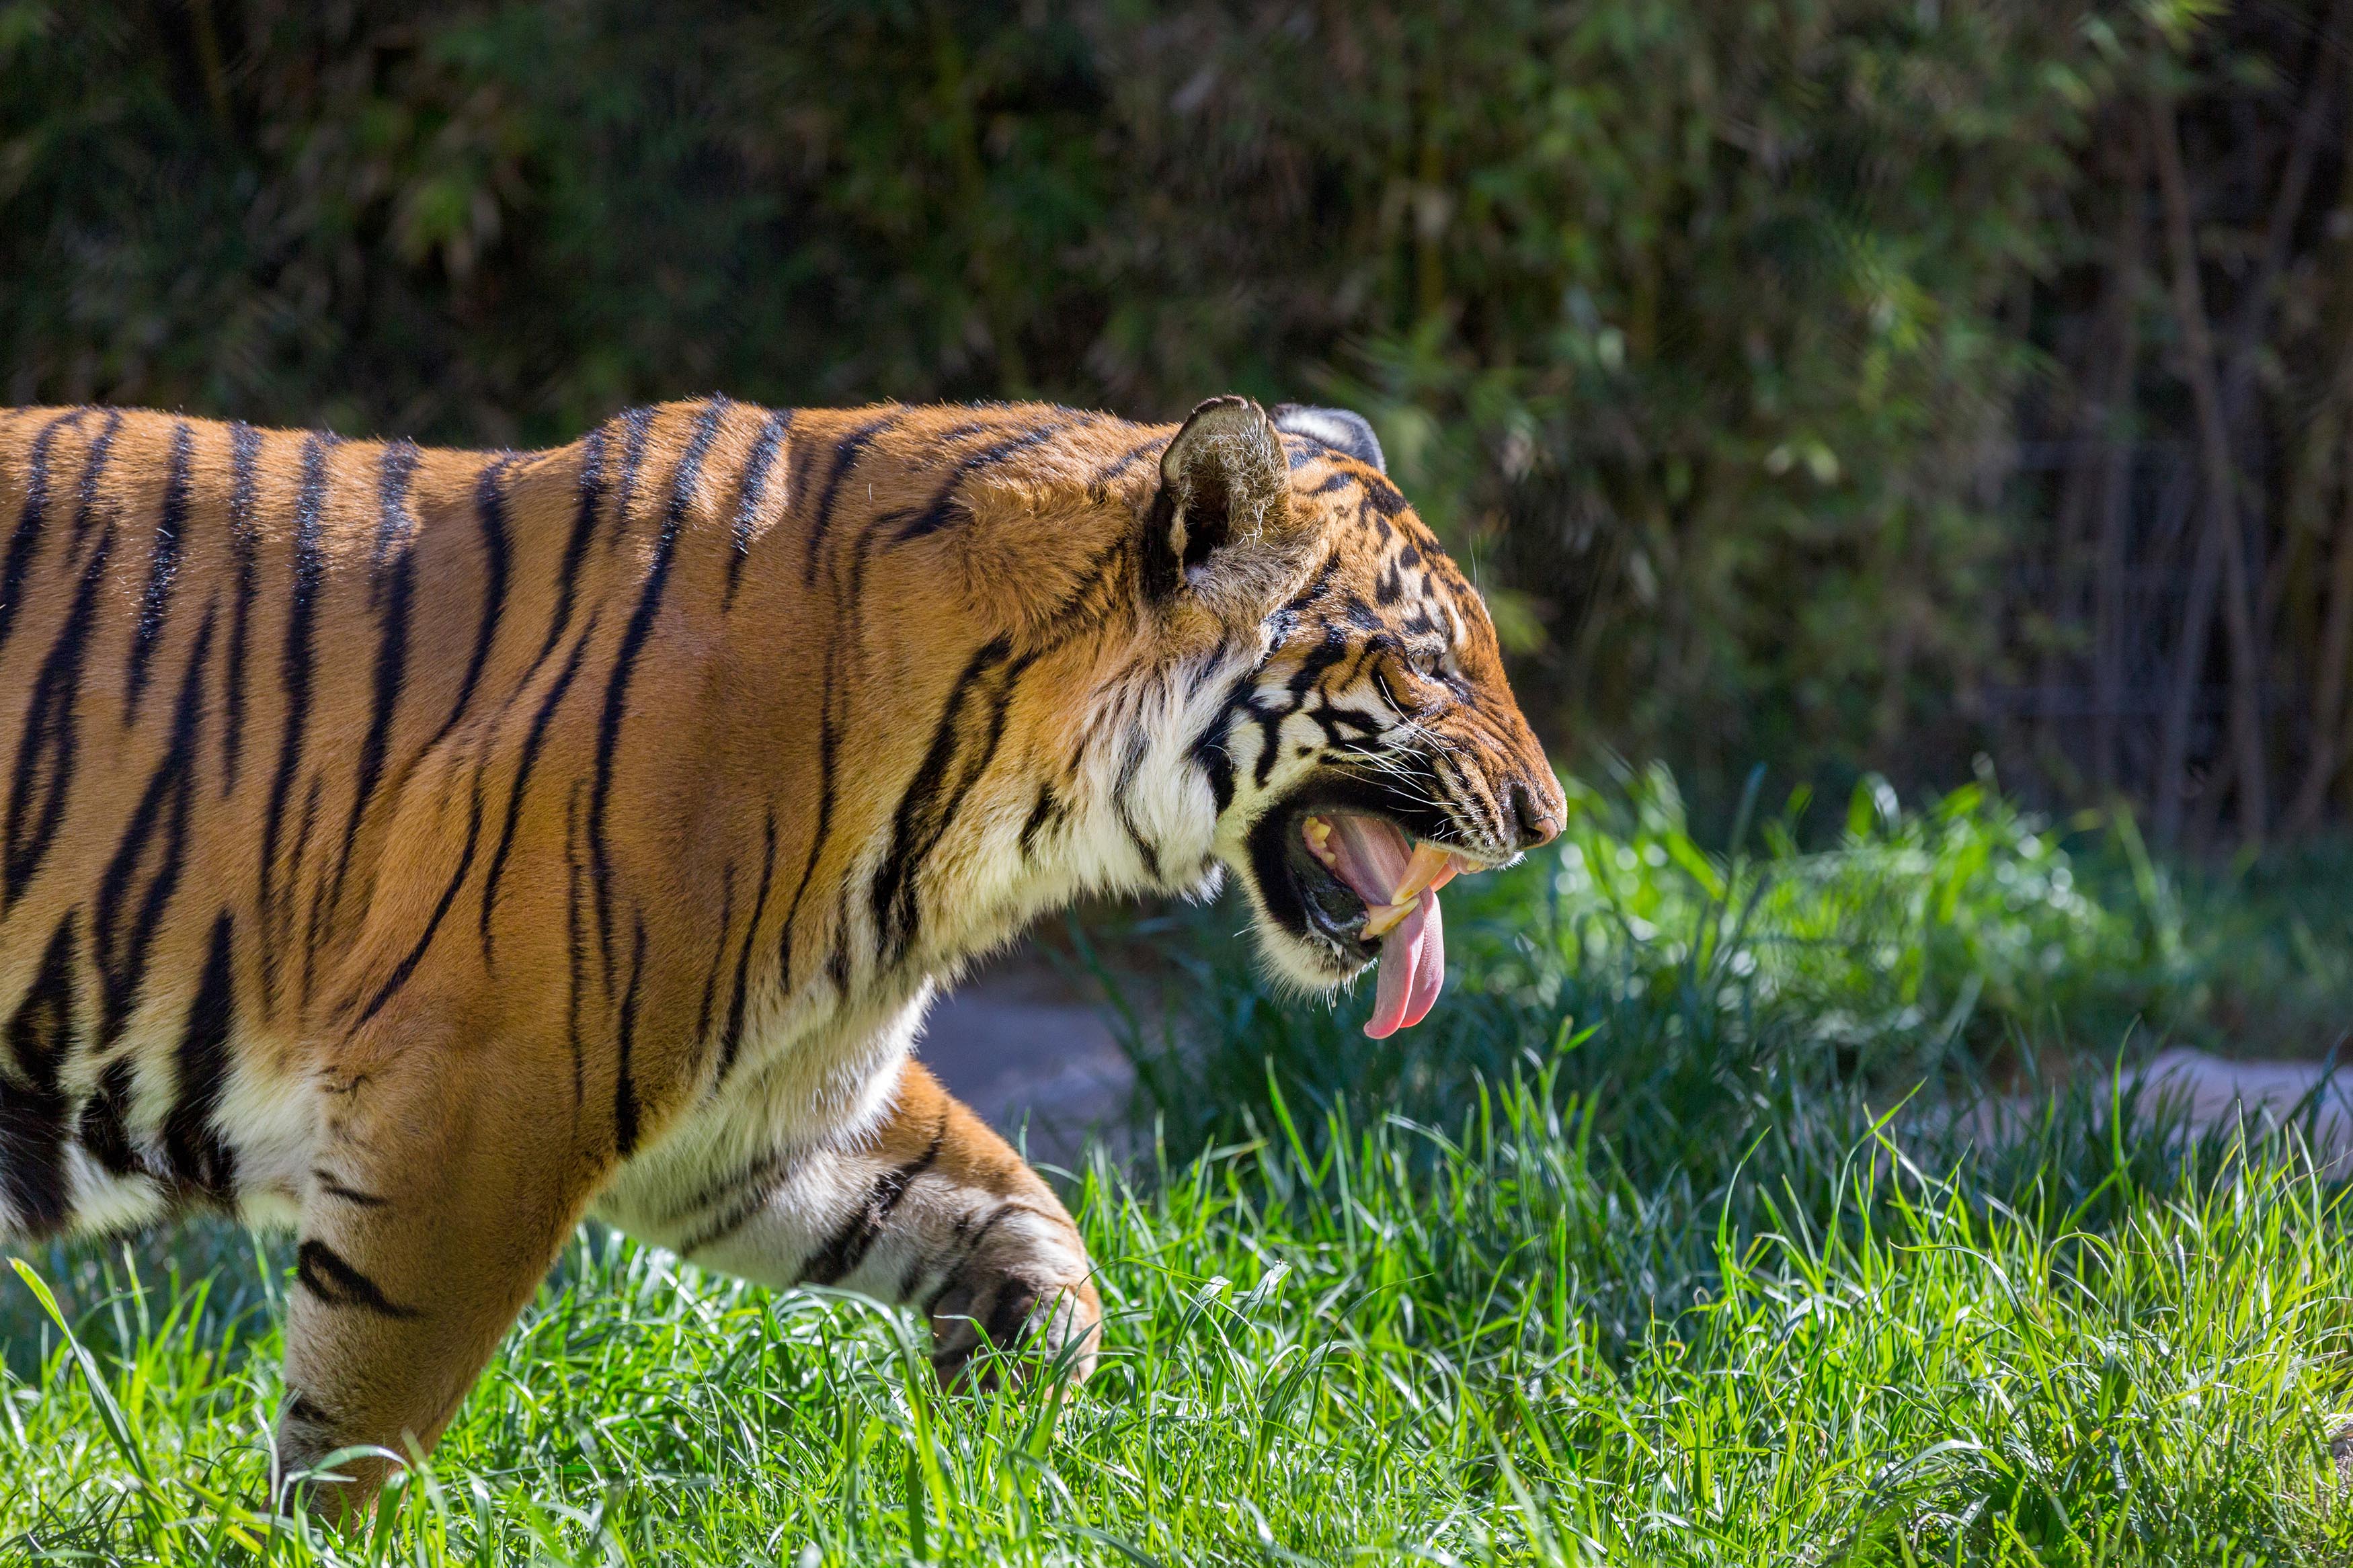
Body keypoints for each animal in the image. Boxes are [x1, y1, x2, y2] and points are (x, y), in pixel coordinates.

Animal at [0, 393, 1562, 1504]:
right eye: (1426, 663)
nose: (1549, 818)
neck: (979, 818)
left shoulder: (771, 1118)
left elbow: (1030, 1223)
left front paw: (1001, 1425)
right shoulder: (477, 1101)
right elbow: (359, 1425)